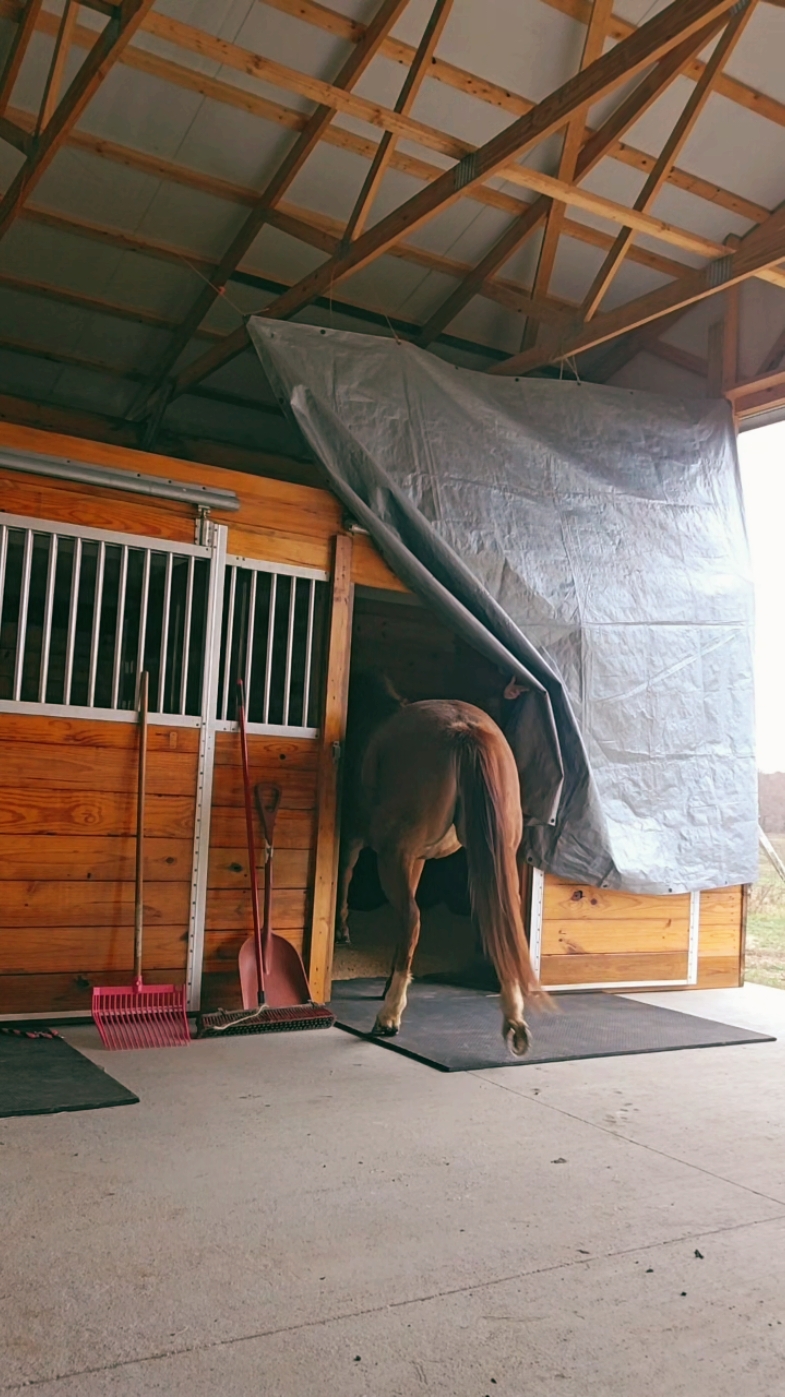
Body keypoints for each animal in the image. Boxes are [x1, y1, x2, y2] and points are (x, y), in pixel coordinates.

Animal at [336, 676, 544, 1056]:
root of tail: (466, 732)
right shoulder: (415, 859)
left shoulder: (357, 839)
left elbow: (345, 877)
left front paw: (343, 932)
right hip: (491, 856)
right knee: (500, 922)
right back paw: (514, 1019)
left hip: (393, 857)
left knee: (412, 919)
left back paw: (389, 1016)